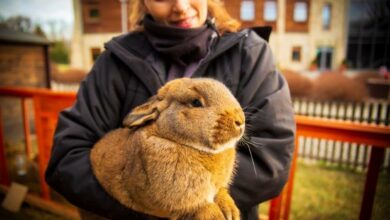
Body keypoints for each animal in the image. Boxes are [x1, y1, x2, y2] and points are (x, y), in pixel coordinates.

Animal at [90, 77, 245, 218]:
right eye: (196, 102)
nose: (240, 120)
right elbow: (199, 207)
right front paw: (216, 215)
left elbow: (220, 192)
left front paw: (230, 211)